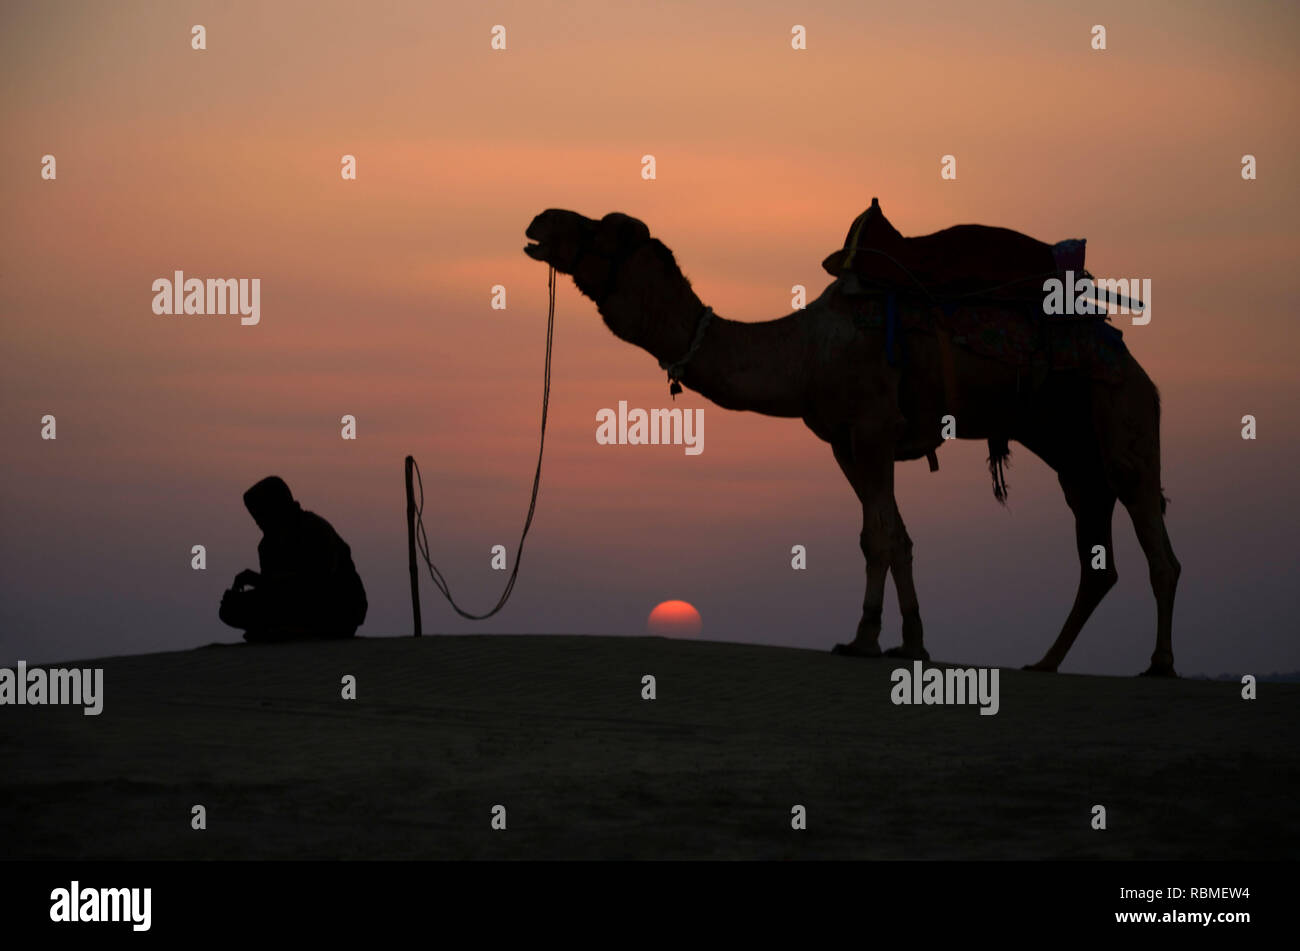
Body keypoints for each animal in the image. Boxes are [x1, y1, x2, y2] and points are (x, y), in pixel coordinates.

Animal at [218, 478, 369, 641]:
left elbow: (315, 576)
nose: (259, 526)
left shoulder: (317, 530)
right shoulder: (265, 544)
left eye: (261, 515)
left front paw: (247, 579)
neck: (290, 526)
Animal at [522, 203, 1185, 670]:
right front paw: (907, 641)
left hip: (1122, 419)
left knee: (1155, 538)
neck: (803, 352)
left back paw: (1158, 664)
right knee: (1097, 557)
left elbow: (880, 537)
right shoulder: (845, 442)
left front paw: (866, 640)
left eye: (602, 232)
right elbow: (891, 536)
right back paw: (1045, 662)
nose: (540, 220)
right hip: (1071, 450)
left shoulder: (871, 427)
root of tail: (1137, 366)